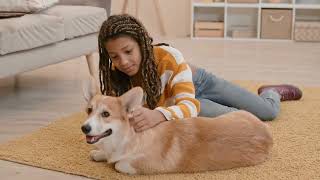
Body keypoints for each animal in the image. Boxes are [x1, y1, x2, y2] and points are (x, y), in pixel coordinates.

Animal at [80, 78, 272, 175]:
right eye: (89, 110)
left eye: (105, 114)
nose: (84, 128)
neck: (128, 137)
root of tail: (267, 133)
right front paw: (99, 153)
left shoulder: (148, 165)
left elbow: (119, 164)